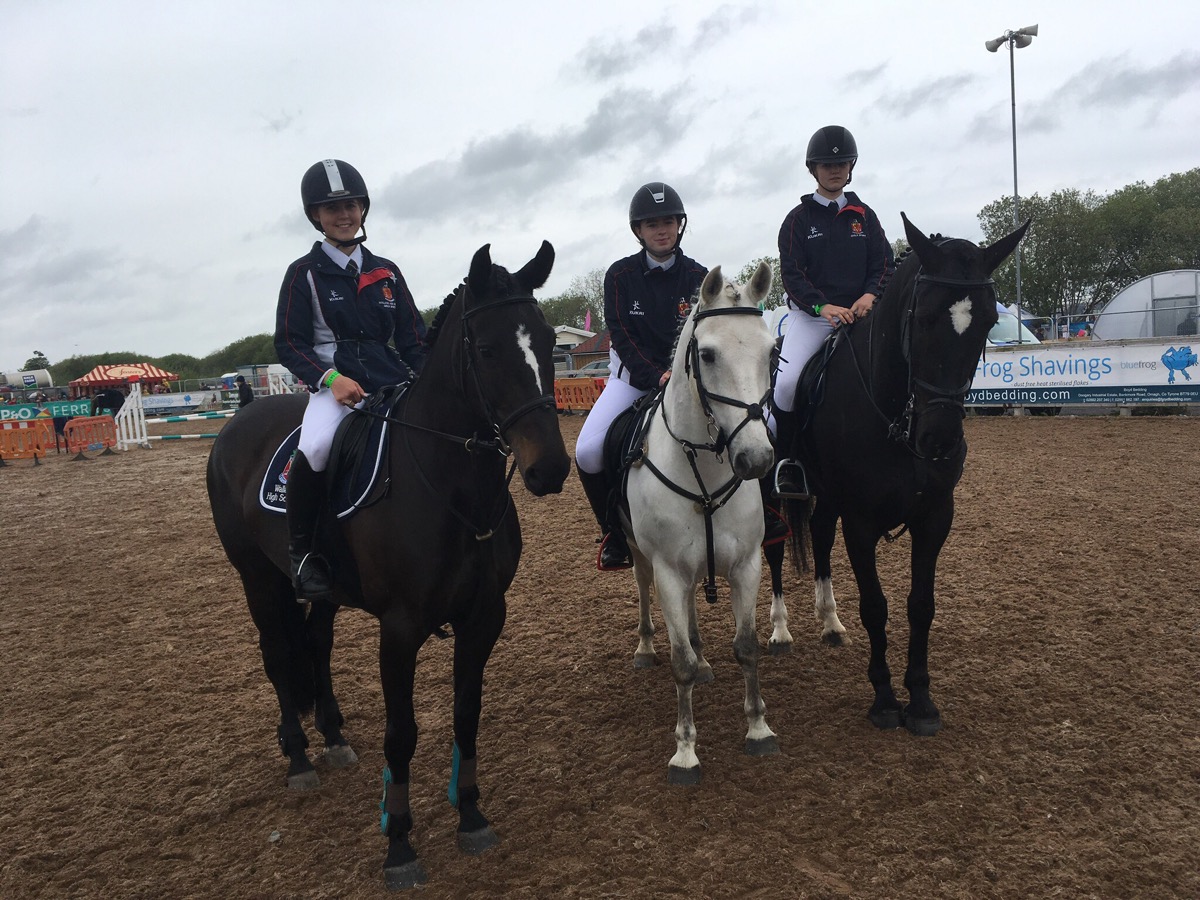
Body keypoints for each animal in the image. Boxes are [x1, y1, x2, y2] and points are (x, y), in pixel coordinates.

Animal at [207, 243, 571, 892]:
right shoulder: (400, 629)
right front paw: (399, 844)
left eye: (551, 340)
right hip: (259, 578)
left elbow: (466, 714)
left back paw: (332, 737)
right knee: (277, 653)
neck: (452, 486)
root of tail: (236, 423)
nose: (549, 469)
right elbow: (401, 734)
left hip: (322, 590)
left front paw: (471, 815)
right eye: (487, 350)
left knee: (316, 644)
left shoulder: (484, 616)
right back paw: (299, 758)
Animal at [777, 213, 1032, 739]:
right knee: (772, 552)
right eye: (922, 318)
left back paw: (829, 622)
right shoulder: (860, 522)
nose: (940, 440)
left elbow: (921, 605)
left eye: (987, 323)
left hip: (827, 495)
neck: (896, 413)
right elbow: (876, 607)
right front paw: (884, 700)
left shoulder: (934, 517)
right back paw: (778, 629)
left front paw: (921, 700)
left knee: (819, 535)